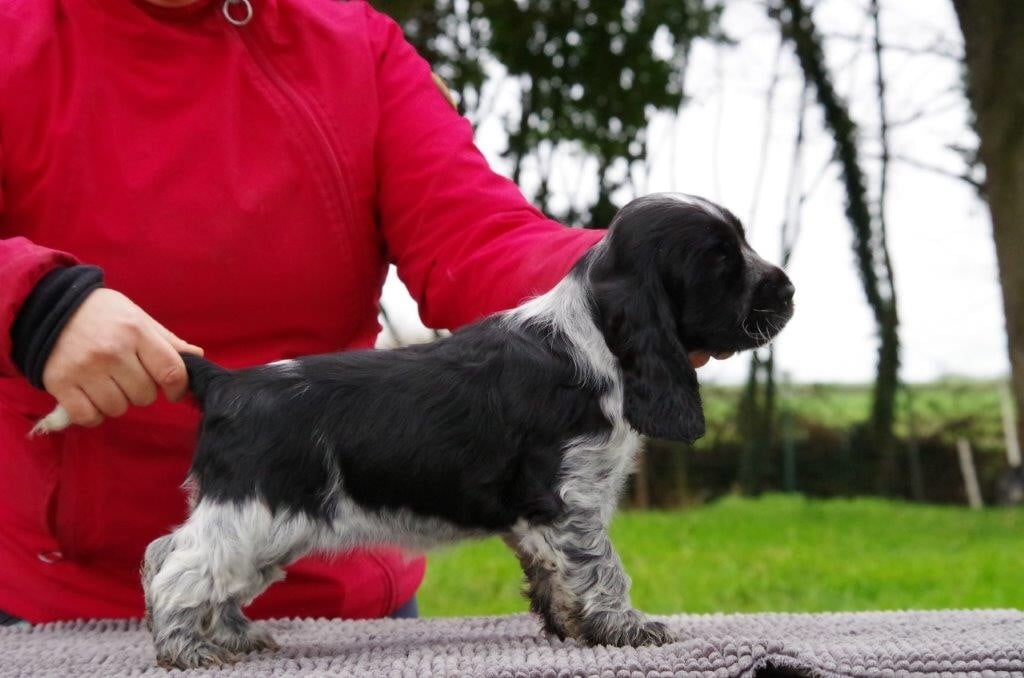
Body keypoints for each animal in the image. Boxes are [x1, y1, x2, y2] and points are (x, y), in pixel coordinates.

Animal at [36, 191, 794, 667]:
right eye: (721, 263)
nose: (788, 289)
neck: (594, 341)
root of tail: (227, 380)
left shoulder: (545, 515)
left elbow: (555, 575)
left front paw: (570, 628)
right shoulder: (570, 500)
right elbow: (600, 568)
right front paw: (628, 629)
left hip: (267, 523)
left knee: (191, 563)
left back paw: (232, 637)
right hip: (256, 507)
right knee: (174, 563)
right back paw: (185, 648)